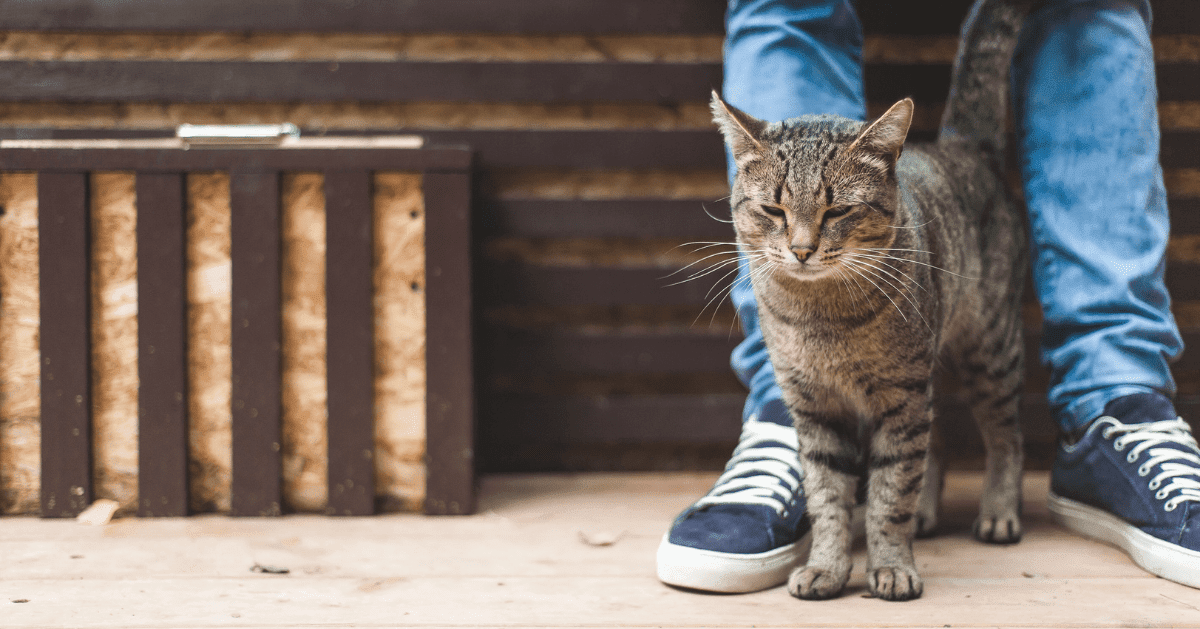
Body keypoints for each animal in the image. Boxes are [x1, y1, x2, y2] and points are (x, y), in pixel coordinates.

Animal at [710, 0, 1032, 600]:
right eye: (773, 210)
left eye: (837, 210)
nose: (802, 249)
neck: (821, 319)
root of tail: (961, 145)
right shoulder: (814, 407)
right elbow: (829, 497)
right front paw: (828, 566)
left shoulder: (899, 398)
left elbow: (889, 494)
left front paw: (892, 565)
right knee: (940, 438)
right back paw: (929, 513)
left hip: (989, 352)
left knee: (1005, 435)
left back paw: (999, 511)